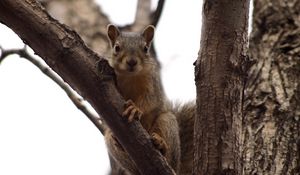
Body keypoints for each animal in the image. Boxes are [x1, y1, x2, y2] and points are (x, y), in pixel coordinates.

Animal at [104, 24, 196, 175]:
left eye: (146, 48)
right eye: (117, 47)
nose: (131, 62)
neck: (130, 76)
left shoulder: (153, 84)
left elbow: (150, 100)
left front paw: (135, 108)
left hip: (167, 121)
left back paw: (161, 146)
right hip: (110, 142)